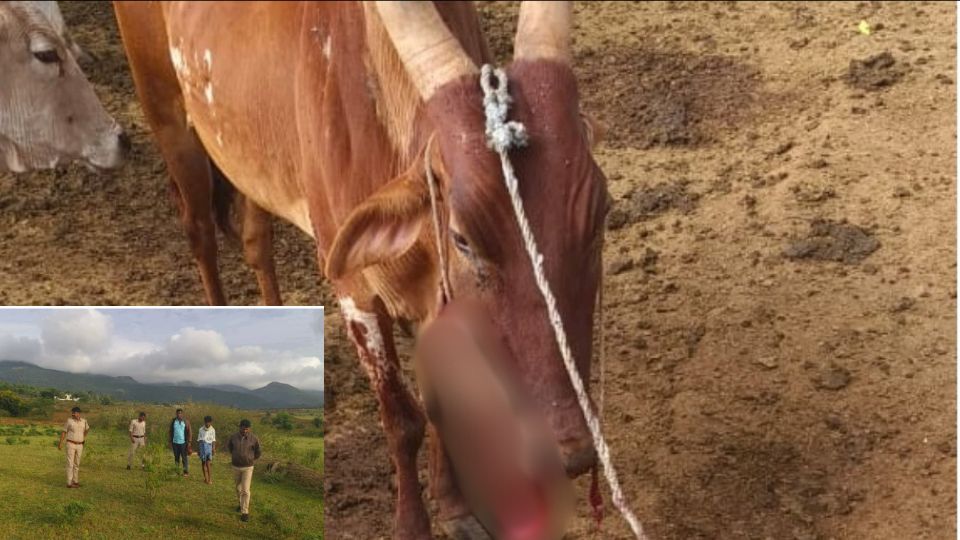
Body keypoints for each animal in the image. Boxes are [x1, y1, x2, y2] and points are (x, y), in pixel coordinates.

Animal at [113, 2, 609, 538]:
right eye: (462, 237)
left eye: (599, 213)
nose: (570, 450)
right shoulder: (355, 293)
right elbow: (403, 420)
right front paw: (412, 524)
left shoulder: (434, 302)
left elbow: (438, 406)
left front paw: (455, 510)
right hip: (167, 115)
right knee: (200, 232)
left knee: (256, 241)